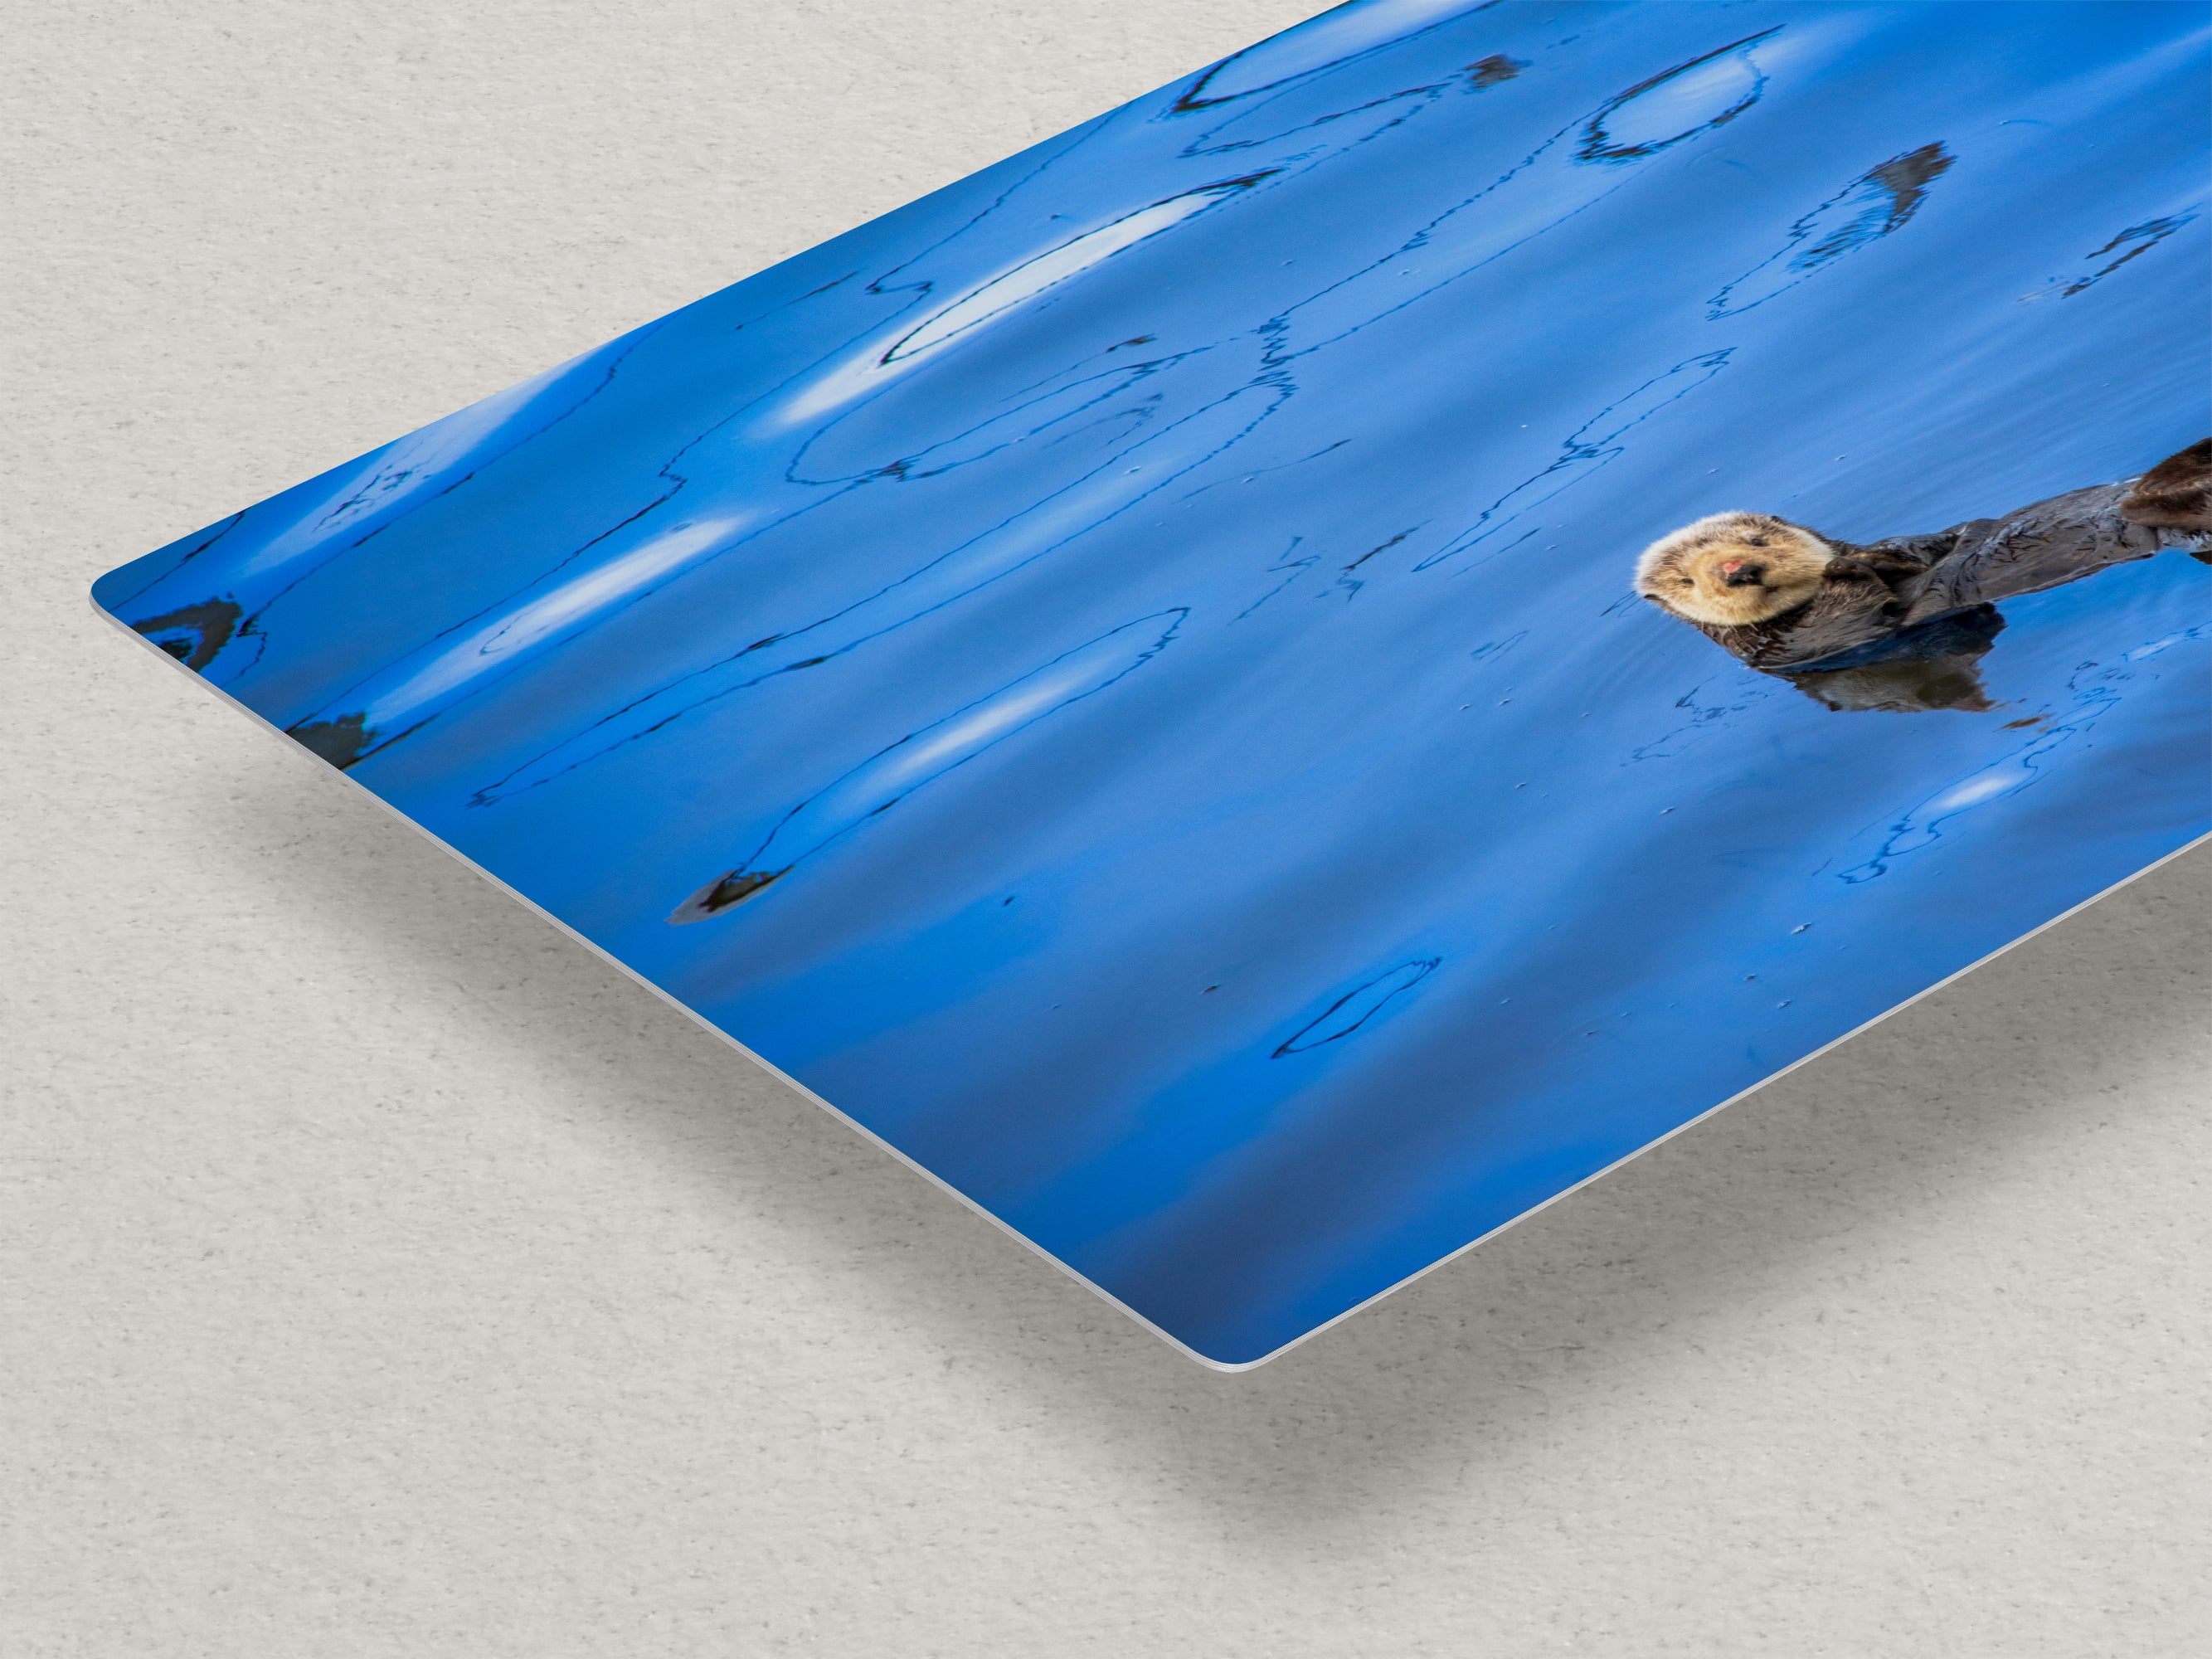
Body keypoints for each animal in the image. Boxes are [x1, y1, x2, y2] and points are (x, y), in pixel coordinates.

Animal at [1634, 440, 2212, 708]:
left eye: (1757, 541)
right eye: (1688, 581)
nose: (1737, 571)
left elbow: (1937, 542)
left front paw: (1885, 554)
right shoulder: (1797, 650)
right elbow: (1867, 617)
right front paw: (1852, 569)